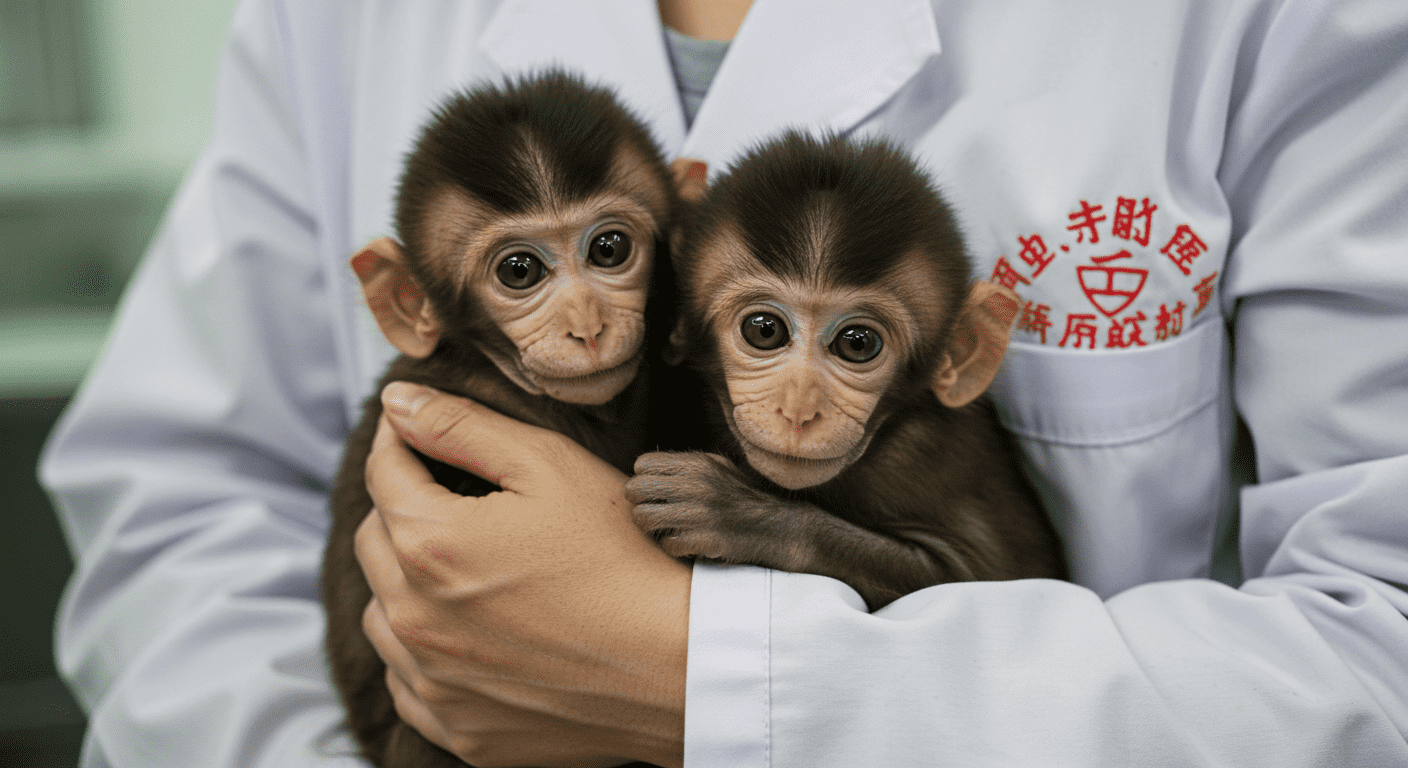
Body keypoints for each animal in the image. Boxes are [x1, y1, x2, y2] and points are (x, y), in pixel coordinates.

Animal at [626, 131, 1068, 612]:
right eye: (764, 330)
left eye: (858, 343)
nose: (798, 410)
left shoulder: (916, 456)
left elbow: (980, 579)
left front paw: (736, 514)